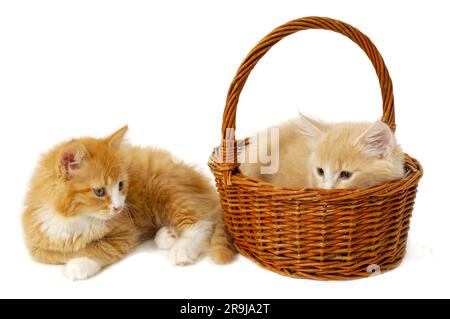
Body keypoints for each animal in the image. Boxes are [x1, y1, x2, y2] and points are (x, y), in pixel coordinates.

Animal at [21, 126, 234, 282]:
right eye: (99, 191)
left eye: (121, 185)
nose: (119, 208)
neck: (74, 217)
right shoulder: (36, 242)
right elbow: (52, 253)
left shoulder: (126, 232)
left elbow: (100, 247)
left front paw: (79, 264)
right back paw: (167, 235)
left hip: (164, 186)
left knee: (202, 222)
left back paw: (182, 249)